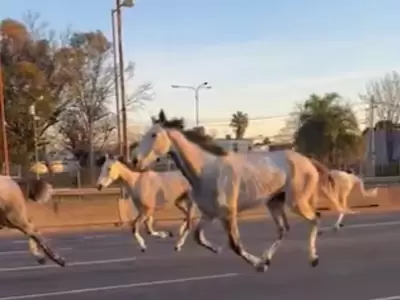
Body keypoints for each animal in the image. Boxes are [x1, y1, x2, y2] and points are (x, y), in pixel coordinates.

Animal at [131, 109, 350, 272]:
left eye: (154, 134)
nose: (135, 160)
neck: (206, 169)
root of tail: (307, 161)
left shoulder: (229, 213)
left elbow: (235, 245)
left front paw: (258, 265)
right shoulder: (209, 214)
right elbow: (198, 237)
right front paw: (218, 249)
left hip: (297, 202)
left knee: (315, 219)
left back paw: (313, 258)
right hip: (274, 202)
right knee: (284, 229)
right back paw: (268, 257)